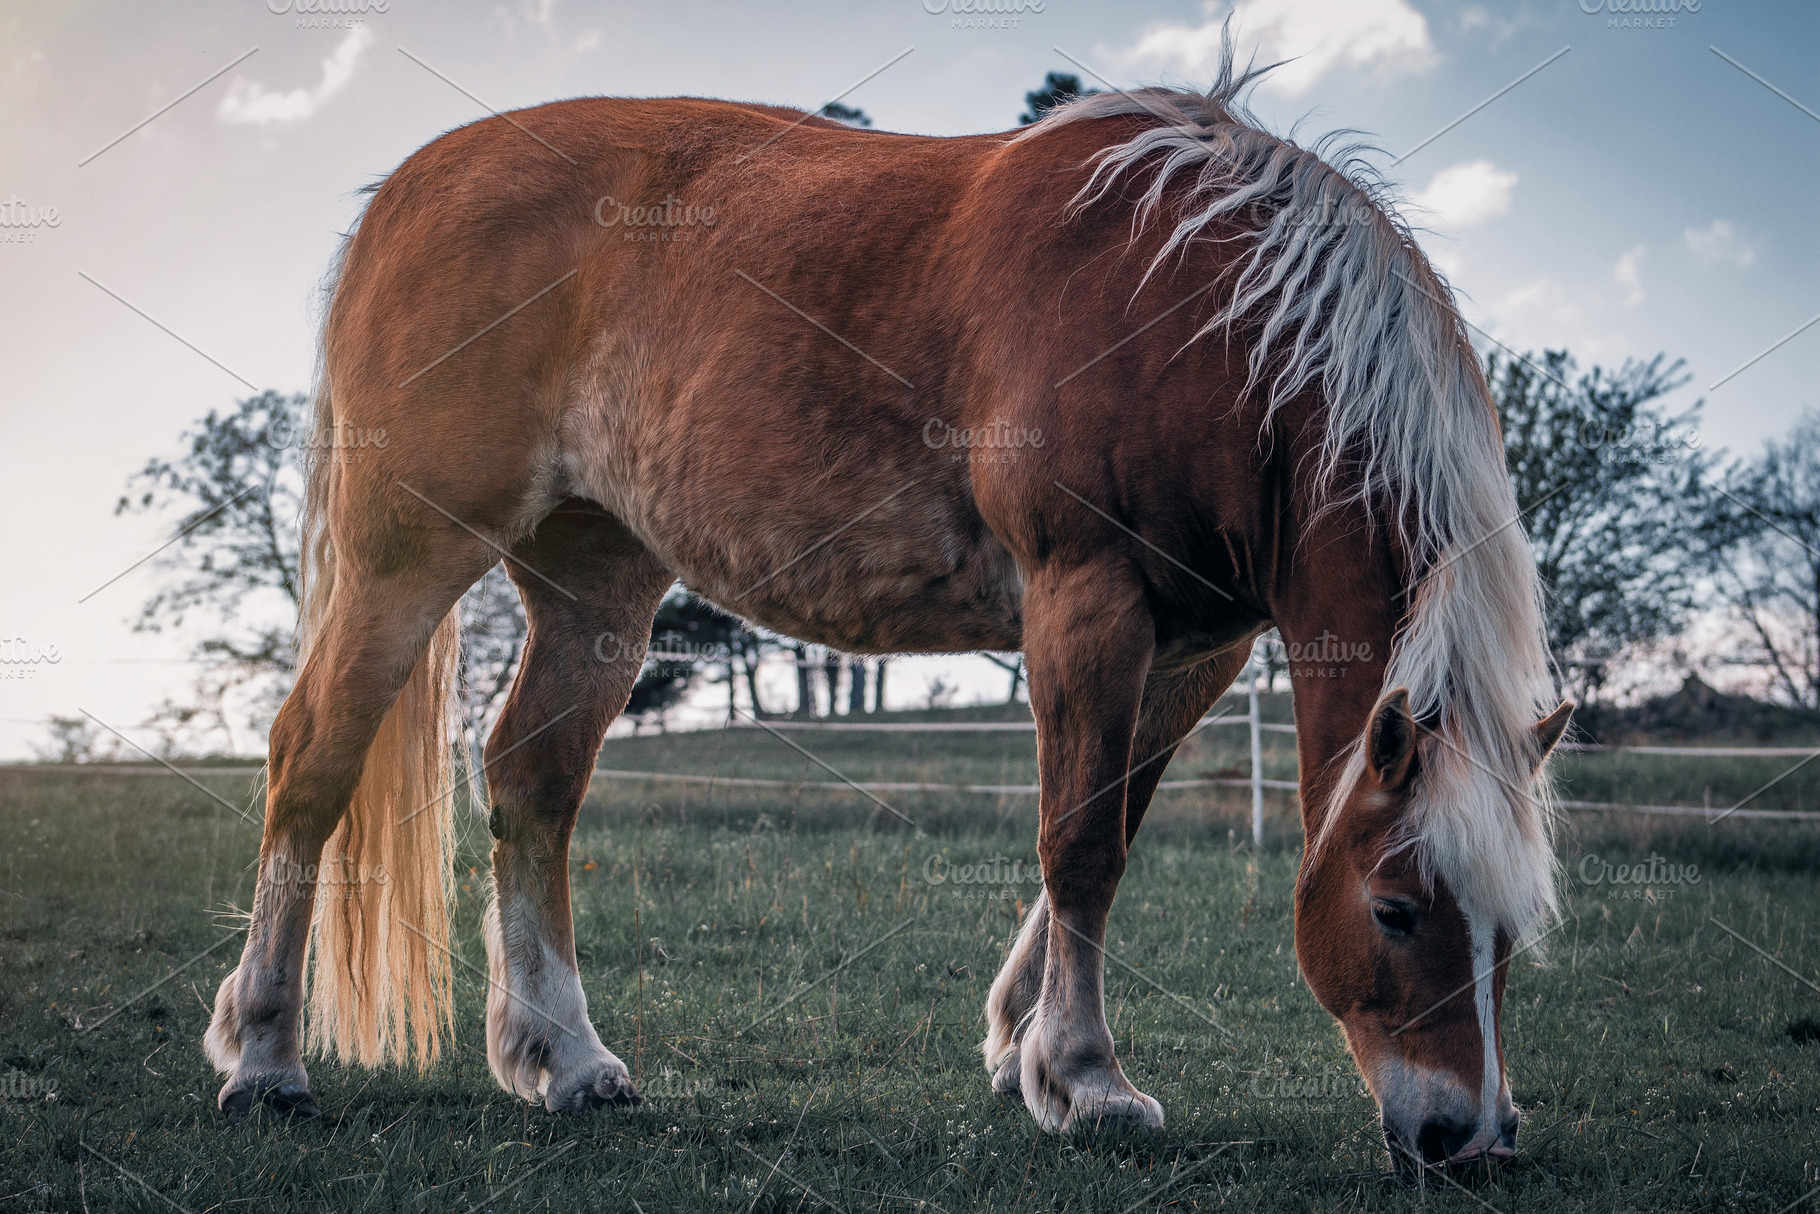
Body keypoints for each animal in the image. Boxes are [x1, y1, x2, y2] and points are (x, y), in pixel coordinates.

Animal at [203, 44, 1572, 1174]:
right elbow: (1077, 840)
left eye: (1510, 930)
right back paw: (265, 1054)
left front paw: (1019, 1044)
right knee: (311, 760)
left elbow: (1110, 827)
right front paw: (1086, 1077)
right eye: (1395, 908)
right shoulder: (1086, 600)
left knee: (530, 782)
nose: (1466, 1134)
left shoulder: (1196, 646)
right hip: (404, 556)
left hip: (593, 584)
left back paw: (566, 1058)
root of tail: (408, 188)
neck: (1208, 316)